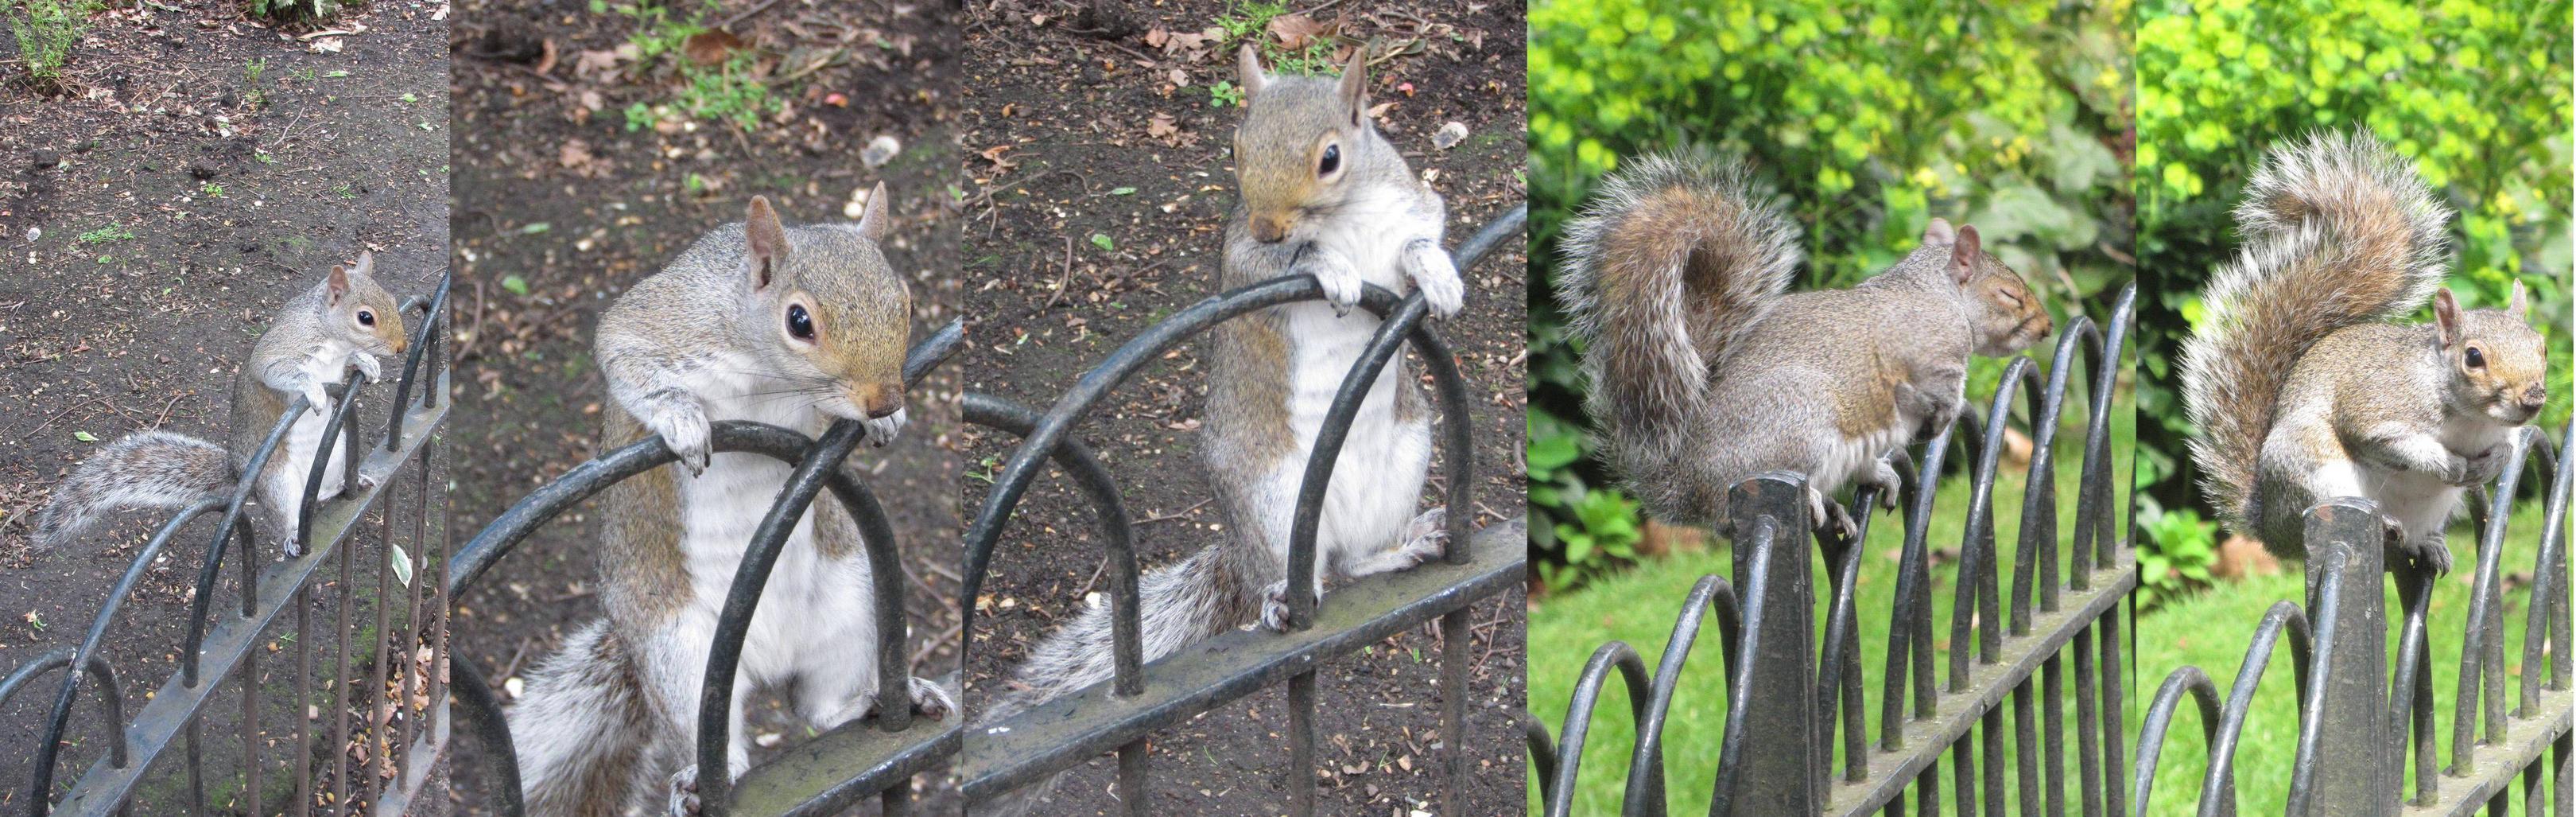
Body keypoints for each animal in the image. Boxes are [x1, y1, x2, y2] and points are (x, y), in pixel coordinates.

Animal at [36, 255, 406, 556]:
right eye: (365, 317)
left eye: (391, 298)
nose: (402, 347)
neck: (330, 336)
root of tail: (240, 473)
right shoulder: (281, 348)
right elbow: (278, 371)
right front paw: (315, 389)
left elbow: (350, 361)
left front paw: (366, 362)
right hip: (275, 480)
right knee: (287, 516)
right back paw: (292, 536)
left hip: (336, 451)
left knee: (325, 491)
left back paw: (350, 483)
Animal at [497, 189, 952, 814]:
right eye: (799, 321)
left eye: (907, 304)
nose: (885, 400)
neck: (768, 373)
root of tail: (764, 660)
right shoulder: (667, 322)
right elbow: (621, 350)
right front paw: (681, 420)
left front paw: (888, 422)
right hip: (677, 654)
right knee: (720, 740)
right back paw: (702, 780)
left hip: (851, 599)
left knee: (818, 707)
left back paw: (884, 697)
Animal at [973, 47, 1473, 809]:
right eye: (1234, 149)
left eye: (1331, 157)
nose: (1270, 225)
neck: (1349, 212)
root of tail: (1243, 549)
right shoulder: (1242, 256)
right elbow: (1278, 263)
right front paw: (1328, 266)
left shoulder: (1411, 205)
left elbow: (1424, 236)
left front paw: (1437, 276)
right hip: (1270, 497)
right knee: (1312, 576)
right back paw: (1281, 601)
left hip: (1408, 453)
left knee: (1353, 564)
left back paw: (1405, 546)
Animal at [1546, 150, 2050, 539]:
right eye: (2009, 295)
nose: (2046, 328)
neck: (1939, 293)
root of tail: (1681, 485)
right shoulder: (1928, 353)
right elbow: (1940, 391)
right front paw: (1941, 420)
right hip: (1797, 419)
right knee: (1737, 507)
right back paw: (1809, 501)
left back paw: (1865, 486)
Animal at [2174, 130, 2555, 569]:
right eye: (2473, 357)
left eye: (2542, 347)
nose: (2532, 398)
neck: (2470, 418)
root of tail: (2272, 531)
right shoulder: (2373, 406)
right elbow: (2390, 441)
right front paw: (2447, 463)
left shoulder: (2505, 431)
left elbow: (2509, 448)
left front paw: (2490, 464)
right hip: (2312, 469)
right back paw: (2387, 522)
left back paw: (2429, 545)